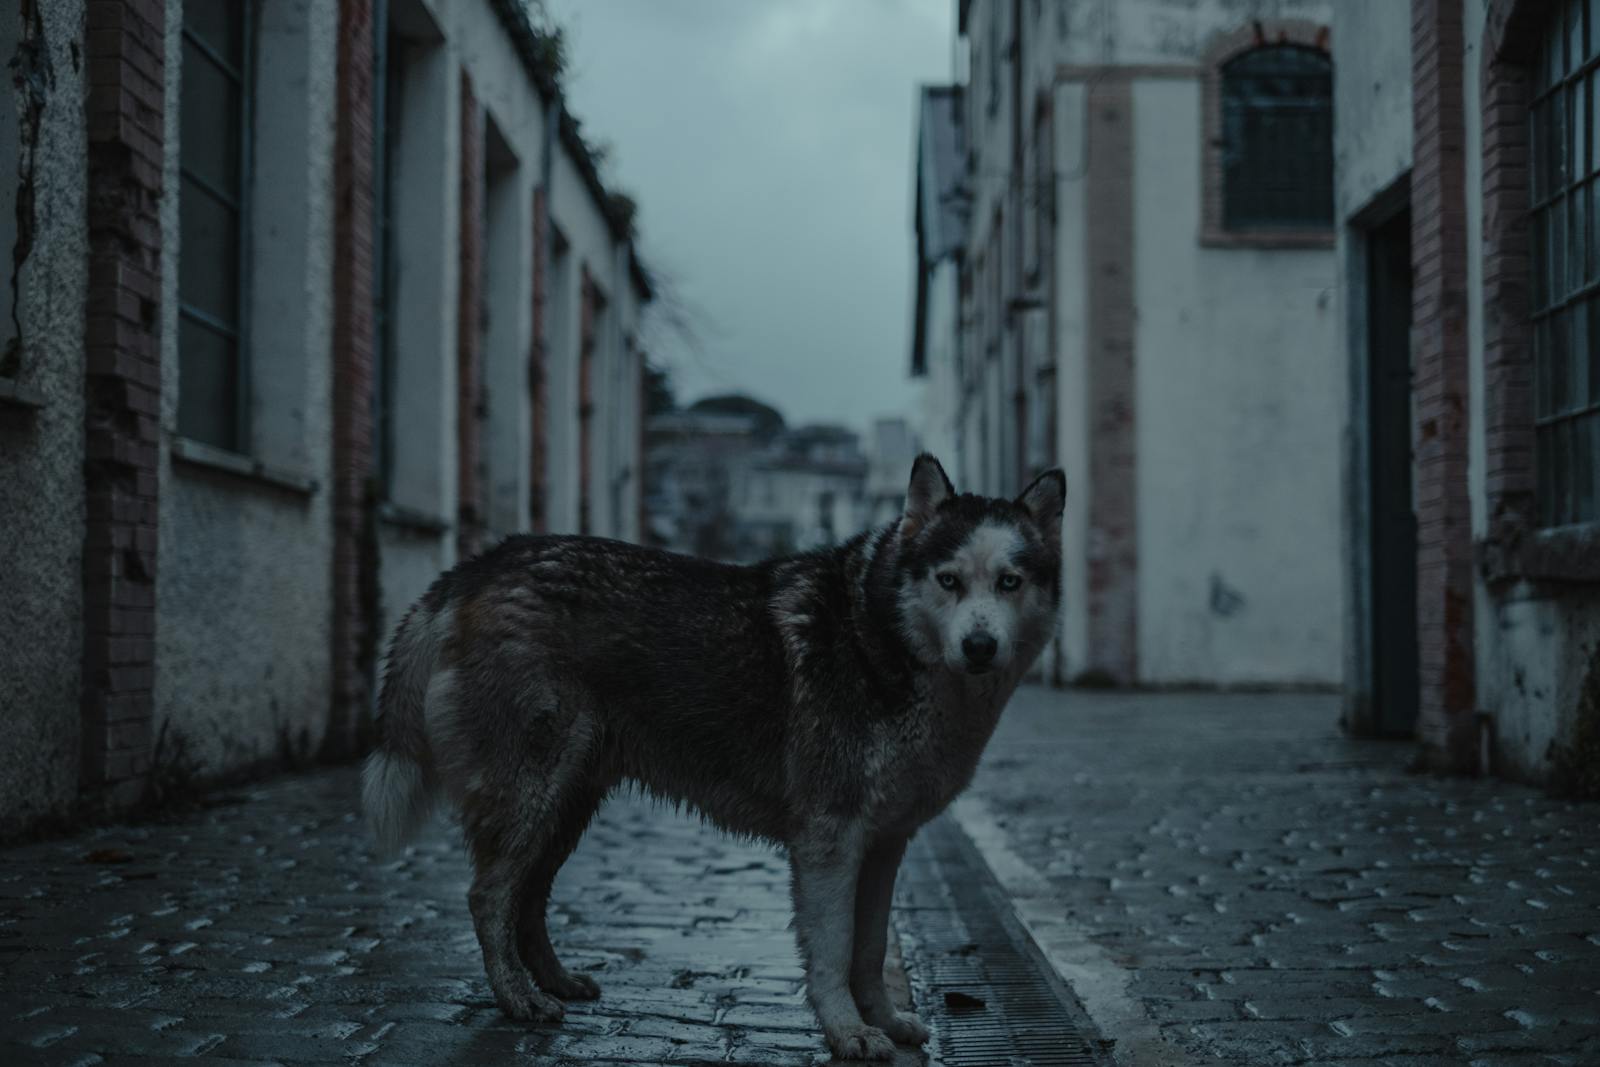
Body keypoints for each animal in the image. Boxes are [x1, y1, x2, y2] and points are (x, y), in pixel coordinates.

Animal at [363, 454, 1062, 1062]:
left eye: (1009, 582)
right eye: (949, 581)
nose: (979, 646)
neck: (881, 639)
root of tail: (480, 565)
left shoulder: (886, 844)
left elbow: (870, 950)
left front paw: (885, 1020)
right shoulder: (831, 838)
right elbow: (833, 952)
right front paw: (847, 1033)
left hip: (565, 805)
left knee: (527, 900)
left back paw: (556, 984)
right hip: (533, 795)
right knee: (487, 897)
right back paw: (516, 1000)